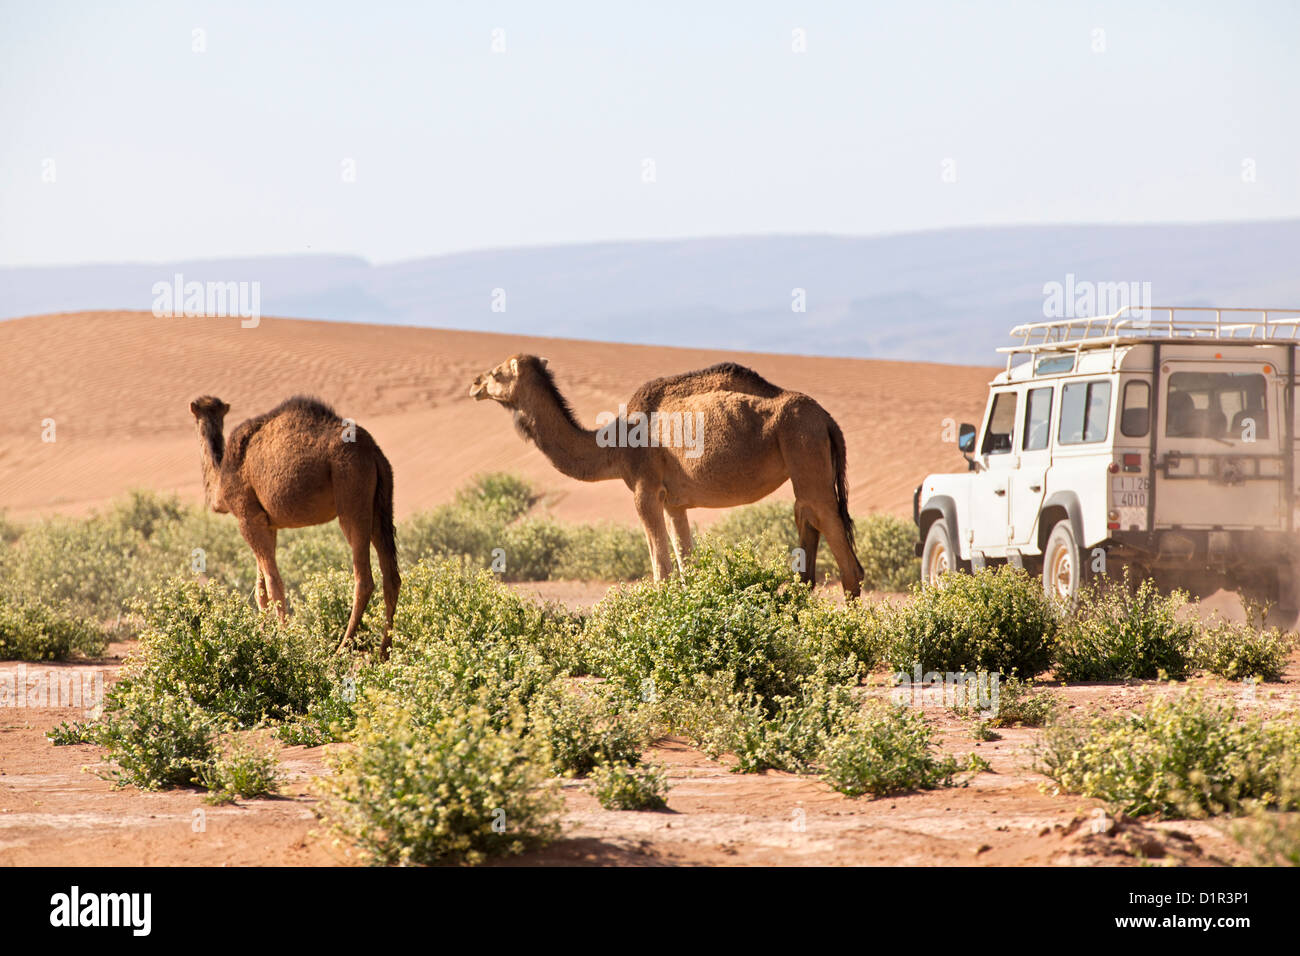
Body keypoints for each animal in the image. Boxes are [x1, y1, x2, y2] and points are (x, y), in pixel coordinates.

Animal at [188, 395, 397, 658]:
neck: (221, 477)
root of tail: (373, 452)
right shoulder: (267, 522)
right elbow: (261, 590)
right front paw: (261, 636)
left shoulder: (247, 516)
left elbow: (273, 584)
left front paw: (284, 640)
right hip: (382, 499)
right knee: (391, 575)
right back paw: (384, 651)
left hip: (351, 489)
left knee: (364, 578)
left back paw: (341, 649)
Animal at [470, 358, 863, 598]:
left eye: (497, 373)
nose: (474, 384)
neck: (614, 445)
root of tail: (828, 419)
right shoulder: (675, 502)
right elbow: (687, 566)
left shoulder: (645, 491)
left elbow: (661, 570)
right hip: (805, 460)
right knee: (807, 527)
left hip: (803, 442)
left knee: (841, 549)